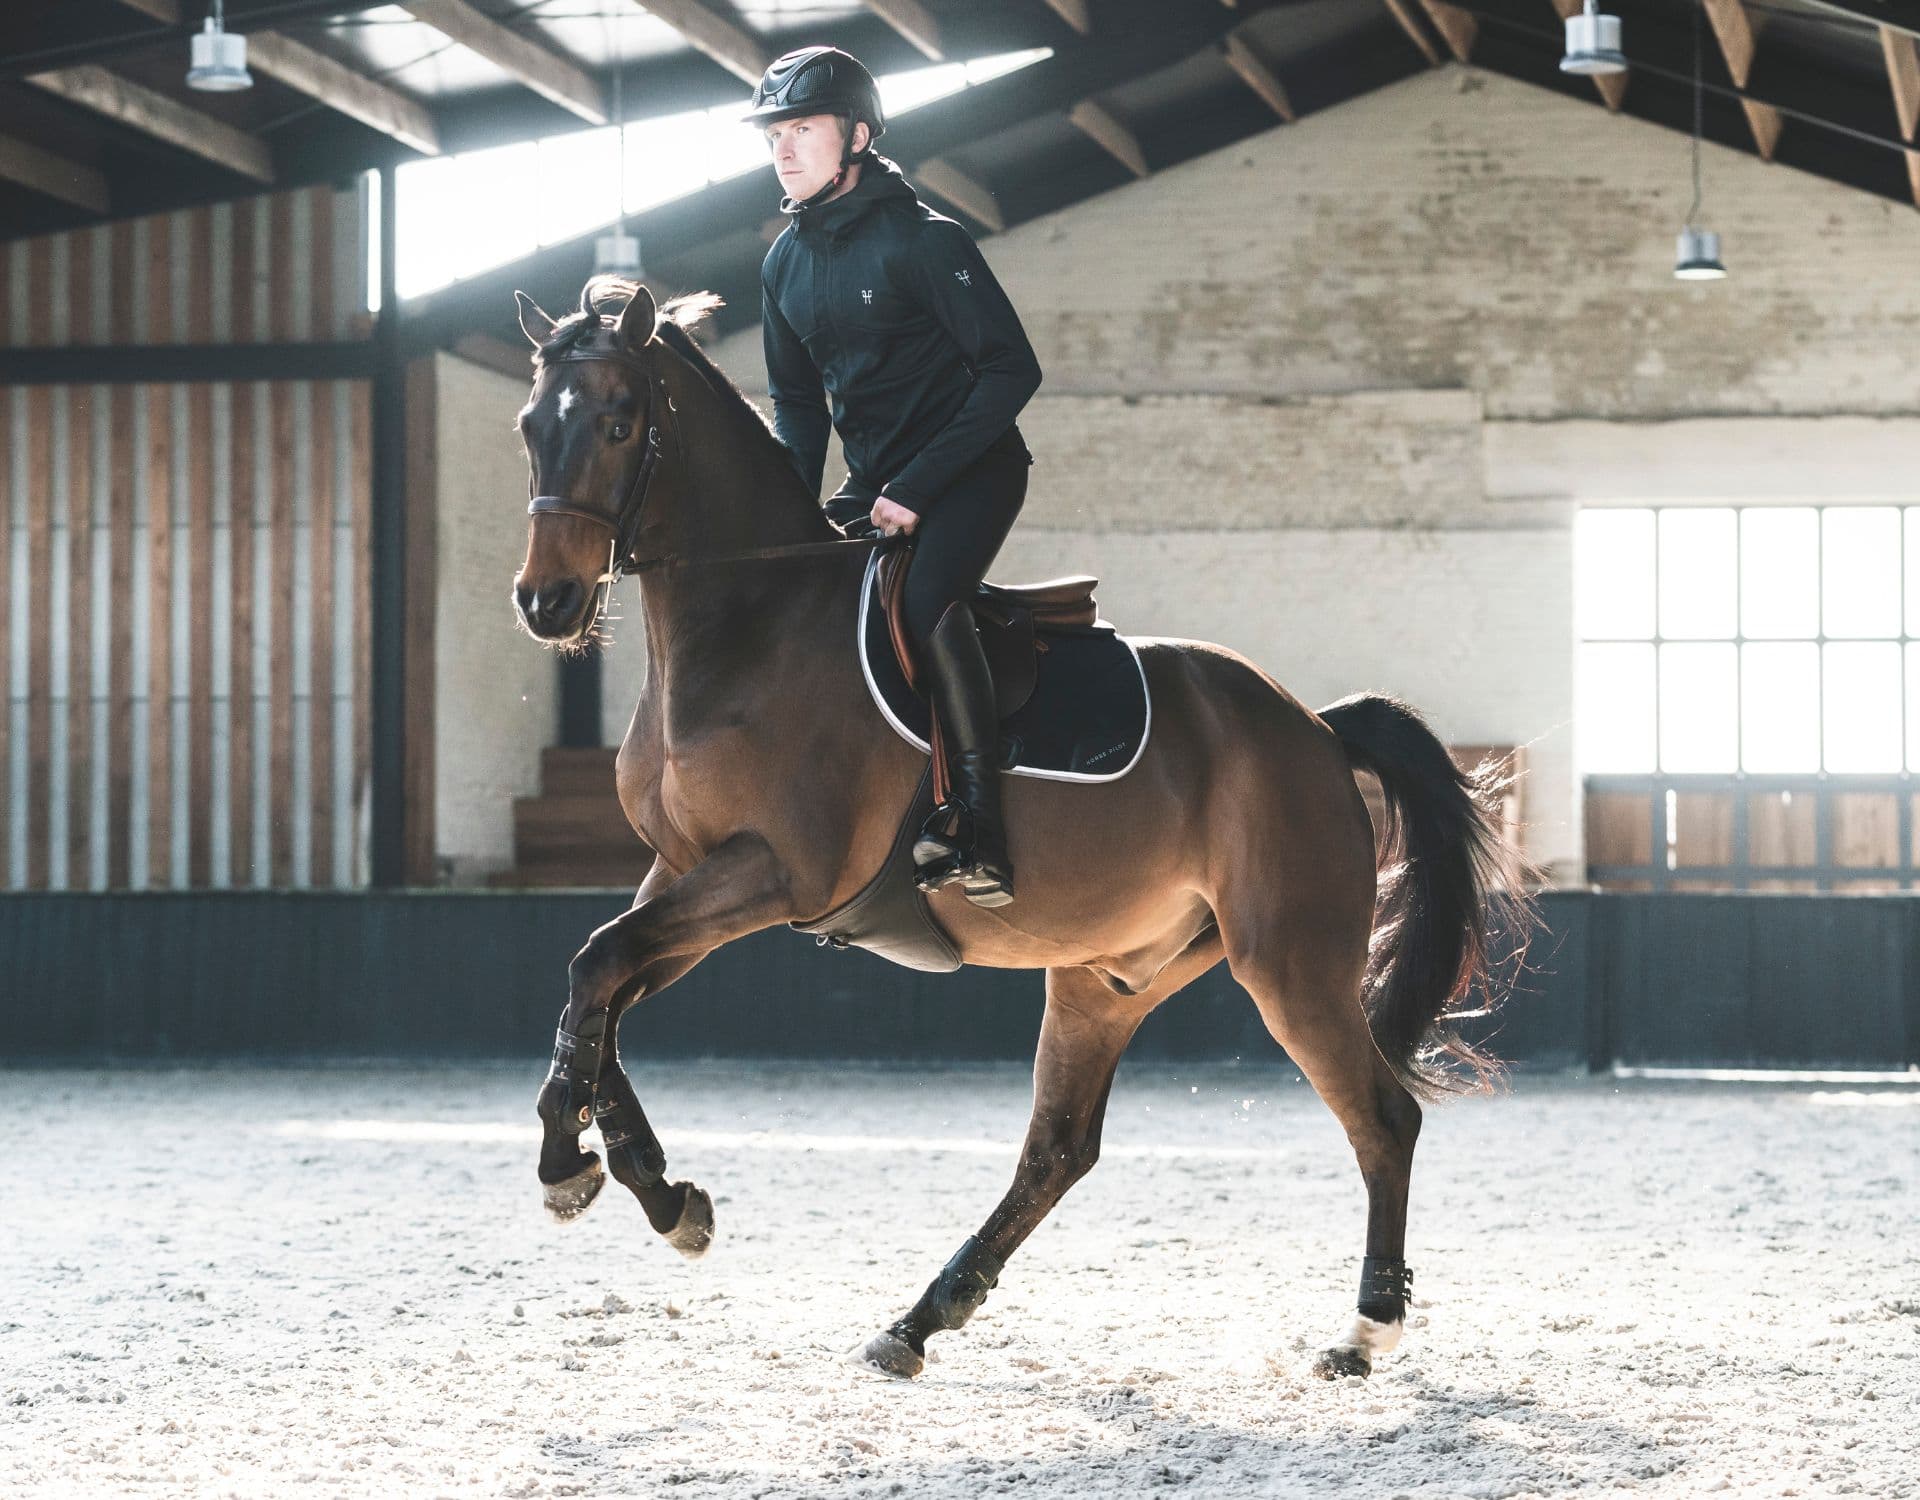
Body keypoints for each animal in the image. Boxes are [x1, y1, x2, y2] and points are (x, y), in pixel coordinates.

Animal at [506, 278, 1528, 1382]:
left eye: (618, 422)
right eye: (529, 426)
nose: (546, 601)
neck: (749, 622)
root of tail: (1316, 729)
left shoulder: (775, 873)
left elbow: (595, 972)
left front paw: (577, 1167)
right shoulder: (684, 874)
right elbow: (597, 986)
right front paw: (648, 1186)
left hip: (1289, 964)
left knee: (1382, 1118)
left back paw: (1365, 1327)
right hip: (1110, 974)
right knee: (1059, 1150)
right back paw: (920, 1319)